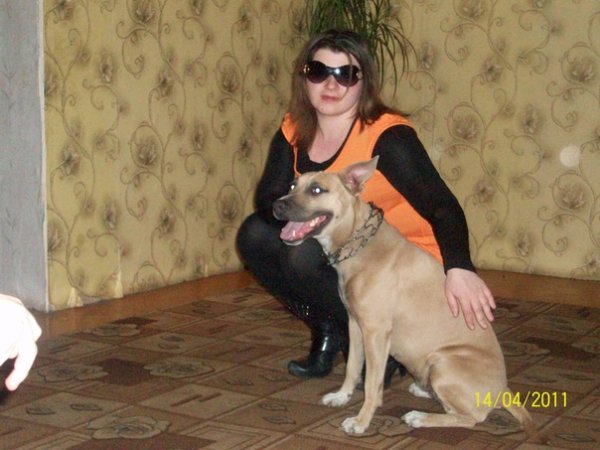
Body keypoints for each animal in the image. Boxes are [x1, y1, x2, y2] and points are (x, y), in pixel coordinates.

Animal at [273, 157, 538, 438]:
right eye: (292, 185)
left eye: (317, 190)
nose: (277, 205)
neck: (359, 243)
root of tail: (503, 391)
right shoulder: (355, 325)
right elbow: (352, 367)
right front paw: (341, 396)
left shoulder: (375, 333)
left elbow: (372, 385)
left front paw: (361, 421)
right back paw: (423, 390)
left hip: (443, 361)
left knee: (470, 418)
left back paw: (420, 417)